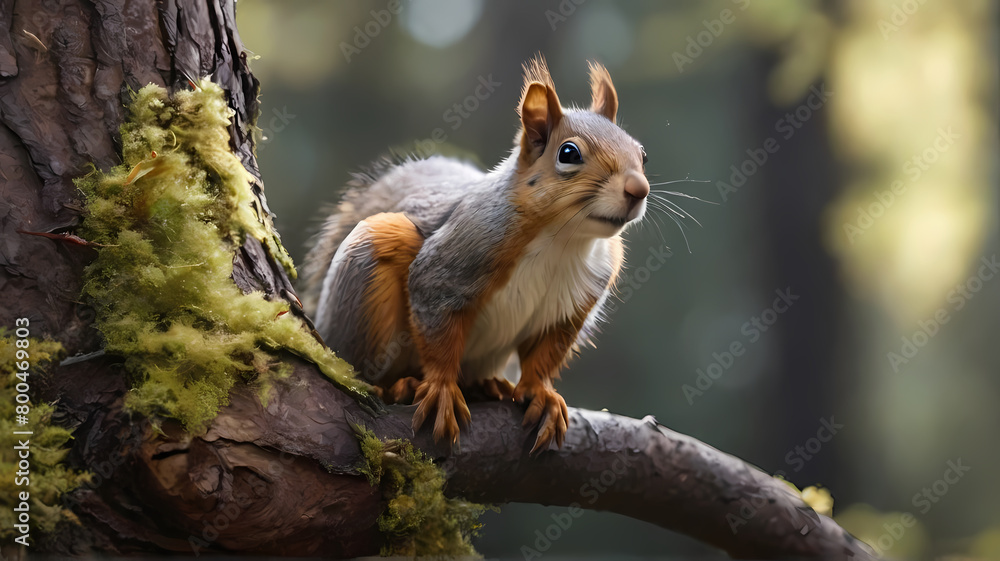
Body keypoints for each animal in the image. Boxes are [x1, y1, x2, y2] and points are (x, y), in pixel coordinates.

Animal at [302, 57, 649, 453]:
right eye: (569, 154)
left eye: (642, 154)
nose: (638, 189)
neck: (564, 239)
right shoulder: (451, 264)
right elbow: (438, 330)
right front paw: (441, 389)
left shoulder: (573, 304)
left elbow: (546, 354)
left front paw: (540, 392)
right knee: (364, 366)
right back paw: (397, 386)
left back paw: (489, 384)